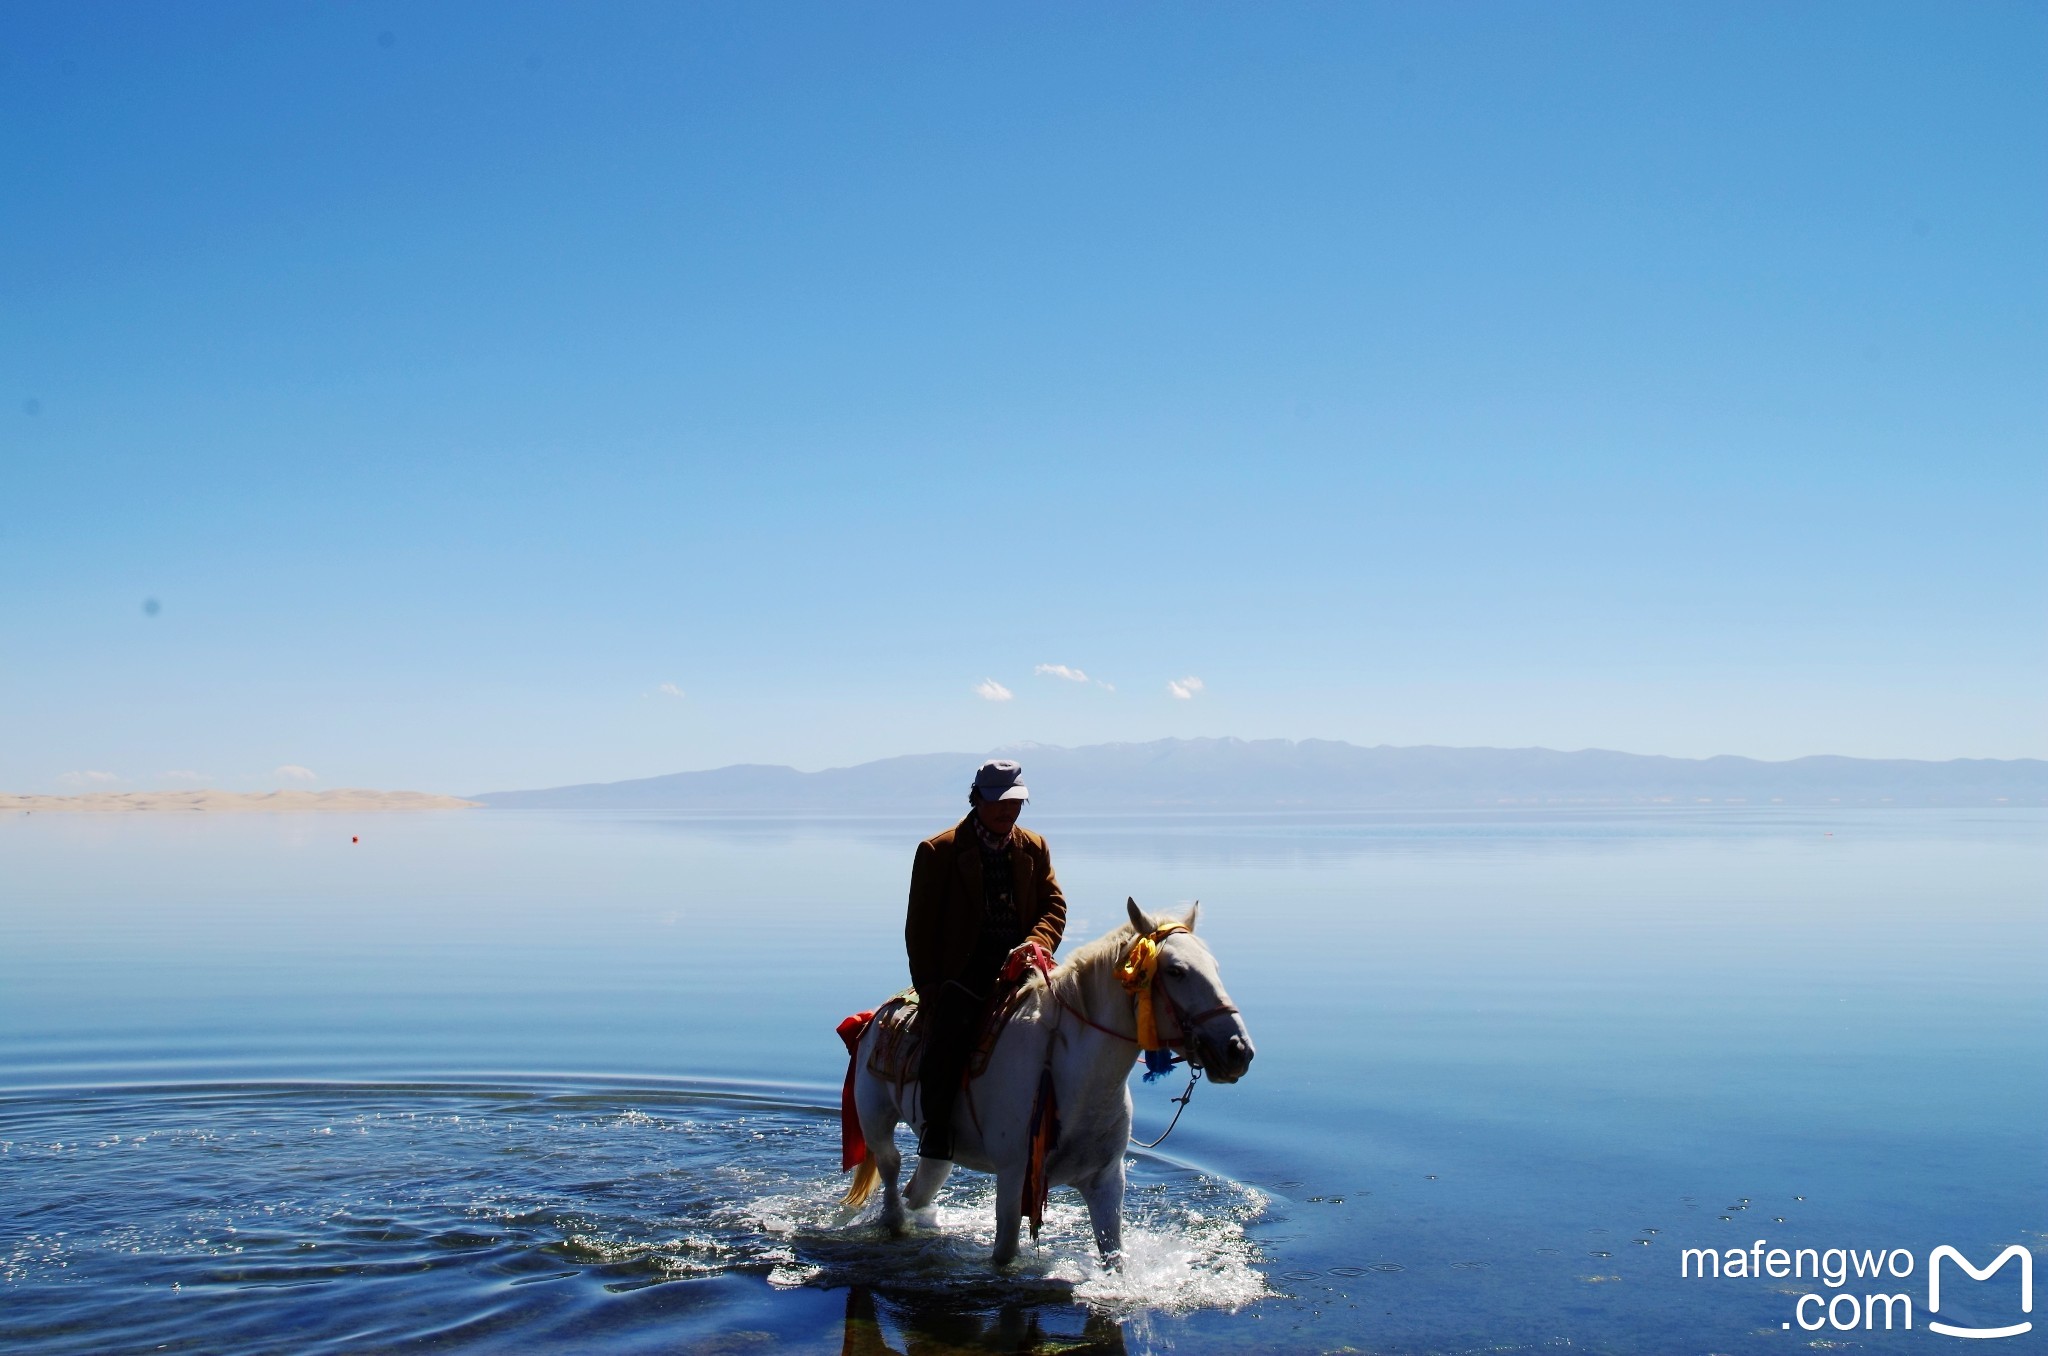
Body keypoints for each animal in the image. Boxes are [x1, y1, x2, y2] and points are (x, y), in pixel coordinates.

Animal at [839, 901, 1253, 1261]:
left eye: (1214, 966)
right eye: (1176, 971)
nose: (1238, 1051)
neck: (1076, 1079)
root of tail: (877, 1016)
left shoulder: (1107, 1181)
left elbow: (1114, 1257)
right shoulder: (1013, 1179)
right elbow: (1005, 1255)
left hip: (939, 1150)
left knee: (920, 1187)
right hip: (876, 1121)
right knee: (892, 1174)